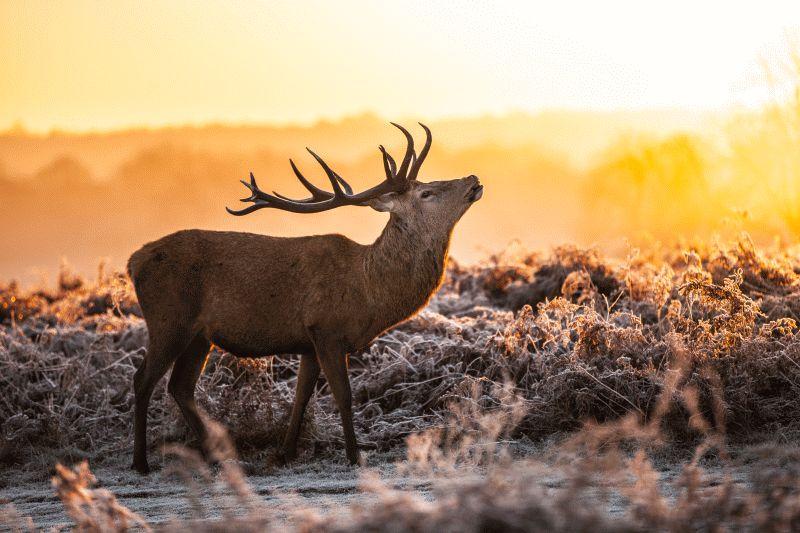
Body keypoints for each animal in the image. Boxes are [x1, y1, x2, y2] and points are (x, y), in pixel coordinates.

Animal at [128, 123, 482, 474]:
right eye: (427, 193)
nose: (473, 180)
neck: (369, 292)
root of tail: (134, 261)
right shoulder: (327, 329)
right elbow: (343, 395)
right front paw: (354, 456)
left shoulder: (308, 343)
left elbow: (301, 397)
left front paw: (284, 454)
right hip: (169, 320)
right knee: (143, 379)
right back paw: (141, 461)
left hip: (199, 335)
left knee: (180, 386)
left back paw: (221, 456)